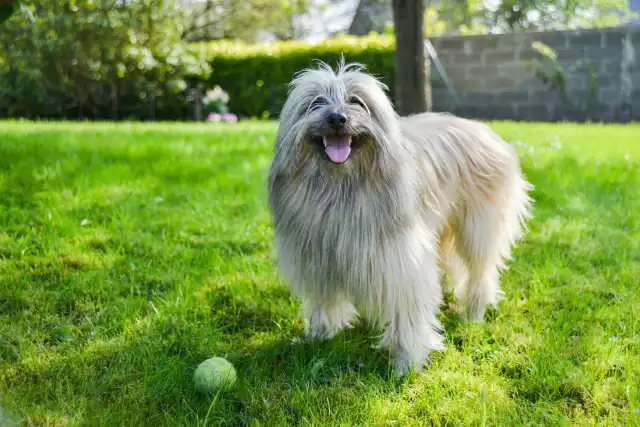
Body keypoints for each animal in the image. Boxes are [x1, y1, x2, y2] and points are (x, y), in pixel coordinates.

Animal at [266, 58, 536, 376]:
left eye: (356, 101)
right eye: (316, 103)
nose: (336, 119)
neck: (341, 186)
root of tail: (485, 131)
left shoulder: (400, 260)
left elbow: (407, 307)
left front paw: (407, 361)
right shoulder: (318, 257)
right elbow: (325, 301)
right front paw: (320, 336)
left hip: (478, 230)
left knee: (480, 272)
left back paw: (473, 311)